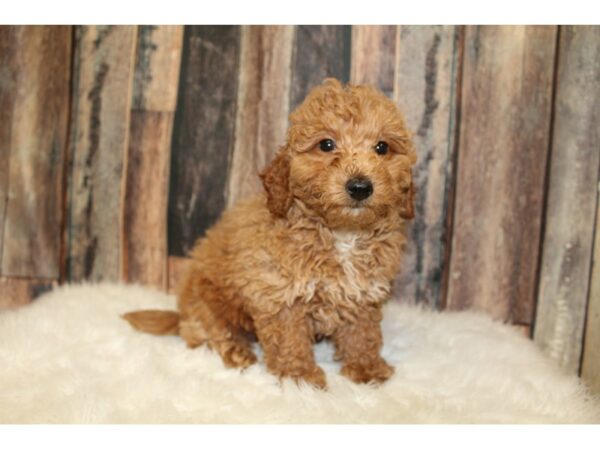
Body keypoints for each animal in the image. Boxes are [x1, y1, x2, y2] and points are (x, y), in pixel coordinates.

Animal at [125, 79, 418, 388]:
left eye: (382, 147)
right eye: (326, 145)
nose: (360, 187)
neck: (341, 234)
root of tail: (178, 313)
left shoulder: (363, 293)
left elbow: (362, 333)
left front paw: (367, 369)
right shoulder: (279, 294)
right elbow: (289, 338)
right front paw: (300, 378)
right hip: (207, 302)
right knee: (209, 332)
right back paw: (238, 352)